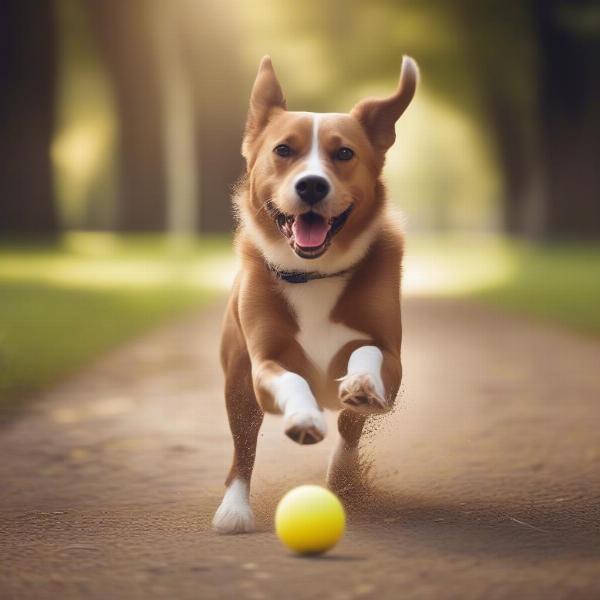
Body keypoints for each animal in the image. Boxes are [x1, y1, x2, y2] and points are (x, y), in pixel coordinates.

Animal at [212, 57, 418, 536]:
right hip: (237, 389)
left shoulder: (391, 359)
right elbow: (292, 380)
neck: (313, 275)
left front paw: (359, 386)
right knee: (242, 452)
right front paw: (305, 418)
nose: (311, 186)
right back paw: (234, 510)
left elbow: (365, 363)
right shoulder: (264, 365)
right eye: (283, 150)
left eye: (344, 154)